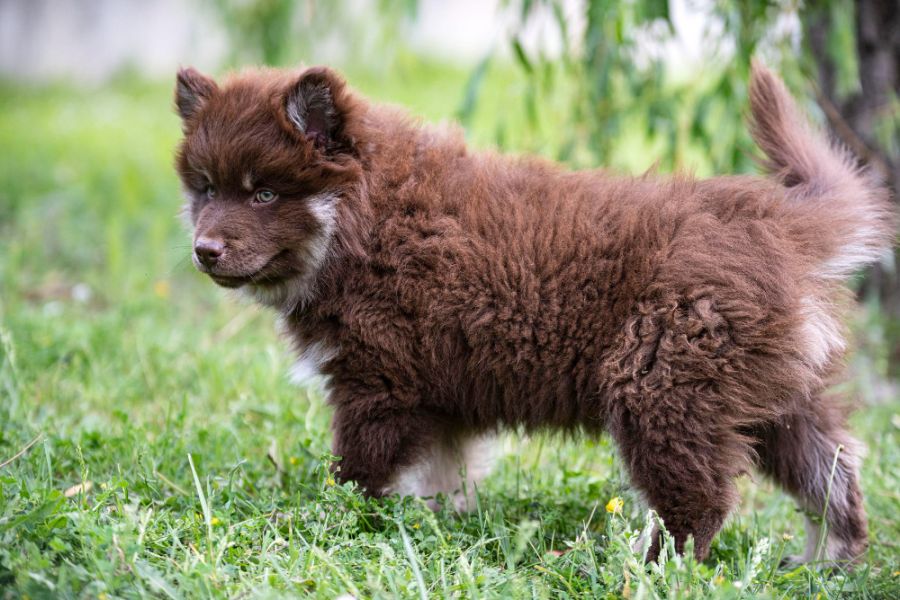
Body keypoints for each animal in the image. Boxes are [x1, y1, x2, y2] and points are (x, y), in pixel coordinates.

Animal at [174, 63, 892, 564]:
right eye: (206, 188)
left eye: (264, 194)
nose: (204, 250)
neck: (362, 218)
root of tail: (776, 221)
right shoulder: (437, 398)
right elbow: (444, 476)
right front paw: (436, 528)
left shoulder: (380, 385)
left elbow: (356, 475)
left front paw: (329, 522)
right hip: (778, 396)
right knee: (834, 476)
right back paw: (825, 565)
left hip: (662, 387)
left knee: (699, 504)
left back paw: (649, 568)